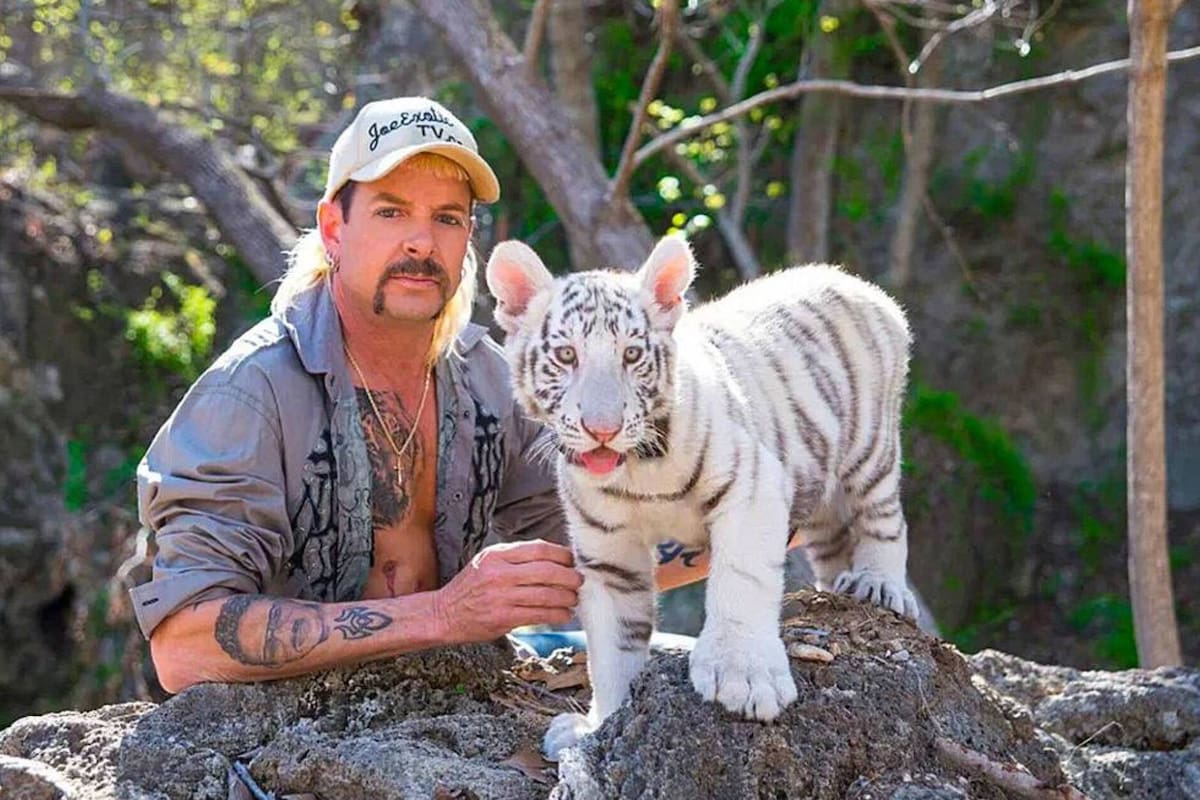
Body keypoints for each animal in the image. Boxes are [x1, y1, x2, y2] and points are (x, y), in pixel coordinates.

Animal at [485, 234, 917, 759]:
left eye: (632, 355)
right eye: (566, 356)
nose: (602, 429)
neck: (638, 469)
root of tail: (854, 281)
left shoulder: (752, 487)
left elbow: (740, 581)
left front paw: (745, 677)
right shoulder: (608, 551)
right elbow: (612, 645)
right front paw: (602, 726)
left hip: (870, 449)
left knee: (885, 517)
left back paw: (880, 584)